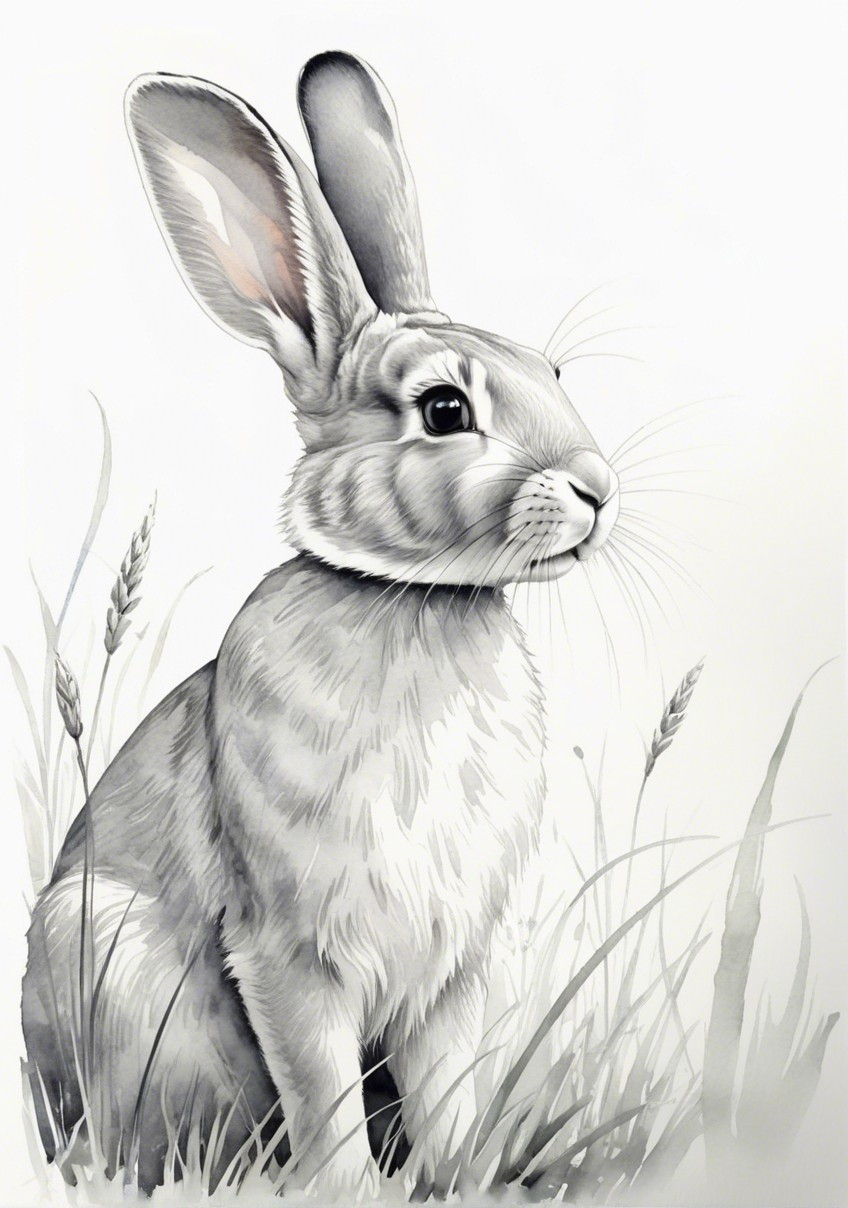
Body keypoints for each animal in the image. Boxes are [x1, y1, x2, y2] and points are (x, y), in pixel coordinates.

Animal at [21, 51, 620, 1198]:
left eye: (554, 373)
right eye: (443, 411)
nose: (598, 490)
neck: (415, 600)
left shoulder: (453, 964)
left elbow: (448, 1095)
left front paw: (459, 1178)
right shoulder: (291, 952)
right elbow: (322, 1094)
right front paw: (346, 1190)